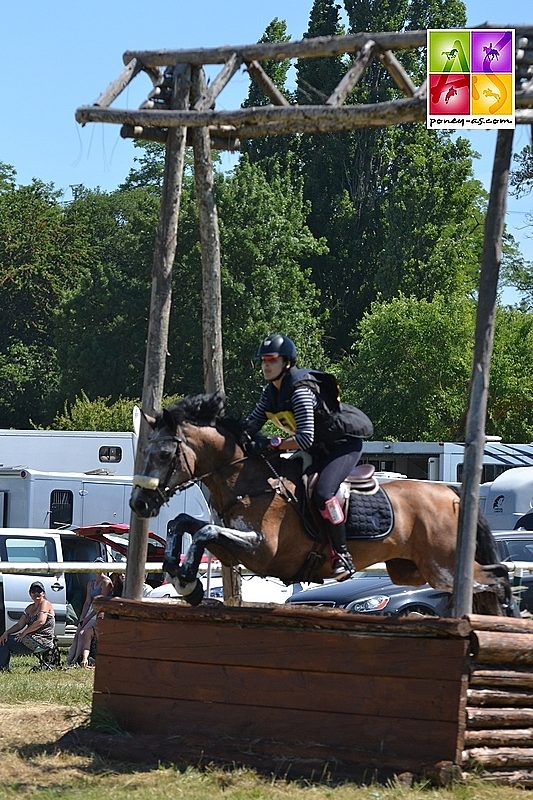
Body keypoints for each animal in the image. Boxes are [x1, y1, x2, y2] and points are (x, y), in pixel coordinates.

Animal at [128, 392, 512, 612]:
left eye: (164, 454)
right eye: (144, 451)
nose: (139, 504)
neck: (247, 482)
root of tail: (450, 493)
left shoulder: (262, 550)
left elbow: (203, 532)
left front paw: (186, 582)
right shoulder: (233, 548)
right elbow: (183, 524)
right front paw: (184, 581)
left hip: (442, 565)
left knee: (498, 576)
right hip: (412, 569)